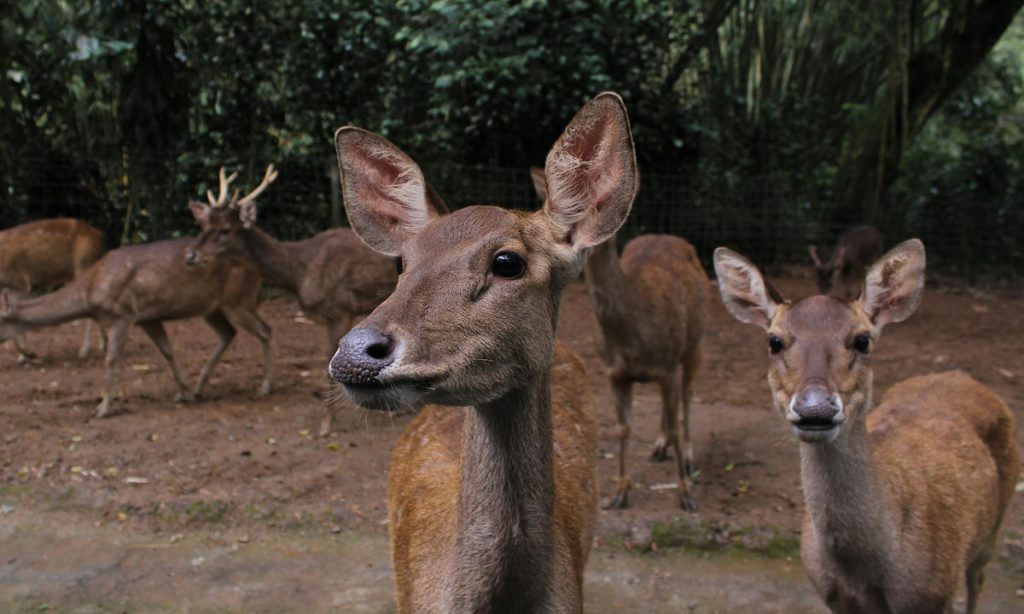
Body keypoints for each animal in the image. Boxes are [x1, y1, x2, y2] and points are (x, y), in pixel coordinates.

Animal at [0, 218, 105, 361]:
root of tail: (98, 236)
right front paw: (23, 356)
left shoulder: (21, 283)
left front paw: (29, 353)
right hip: (71, 274)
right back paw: (102, 345)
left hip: (83, 264)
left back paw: (84, 351)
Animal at [184, 165, 400, 434]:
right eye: (204, 226)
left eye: (226, 229)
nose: (190, 255)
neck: (299, 273)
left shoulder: (340, 310)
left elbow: (329, 366)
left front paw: (326, 424)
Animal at [531, 167, 709, 511]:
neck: (630, 336)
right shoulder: (615, 373)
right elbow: (622, 428)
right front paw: (620, 492)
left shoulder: (667, 365)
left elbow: (675, 419)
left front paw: (685, 494)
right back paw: (659, 447)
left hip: (696, 341)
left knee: (688, 395)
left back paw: (689, 459)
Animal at [714, 239, 1019, 614]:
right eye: (774, 341)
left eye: (863, 340)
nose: (816, 408)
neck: (863, 572)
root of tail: (963, 376)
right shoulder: (832, 595)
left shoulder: (934, 595)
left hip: (995, 518)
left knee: (978, 577)